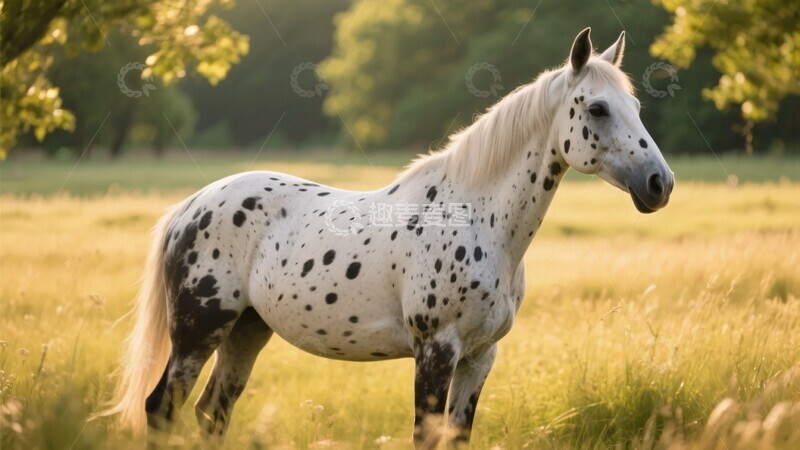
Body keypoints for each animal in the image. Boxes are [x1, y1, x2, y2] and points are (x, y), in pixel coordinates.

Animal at [98, 27, 674, 448]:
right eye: (597, 108)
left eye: (637, 108)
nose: (659, 184)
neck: (476, 217)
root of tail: (190, 206)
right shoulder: (436, 351)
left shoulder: (480, 358)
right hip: (199, 330)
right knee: (161, 409)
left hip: (246, 330)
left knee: (212, 414)